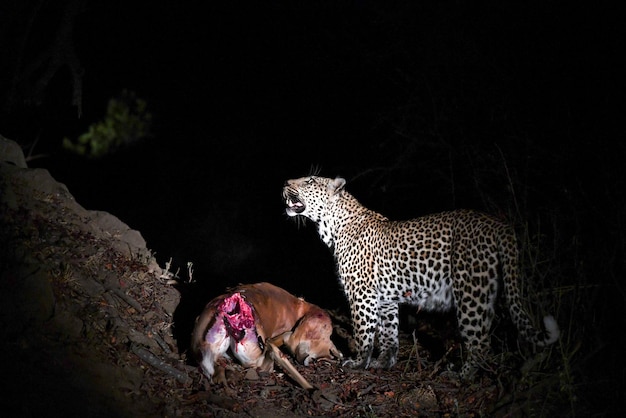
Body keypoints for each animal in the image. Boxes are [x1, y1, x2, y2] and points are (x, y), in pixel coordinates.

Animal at [280, 174, 560, 378]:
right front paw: (384, 362)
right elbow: (389, 333)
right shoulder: (385, 298)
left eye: (310, 180)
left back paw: (461, 375)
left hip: (469, 292)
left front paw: (358, 363)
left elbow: (363, 332)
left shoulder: (362, 295)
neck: (332, 226)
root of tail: (499, 225)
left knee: (480, 343)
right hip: (485, 291)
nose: (285, 183)